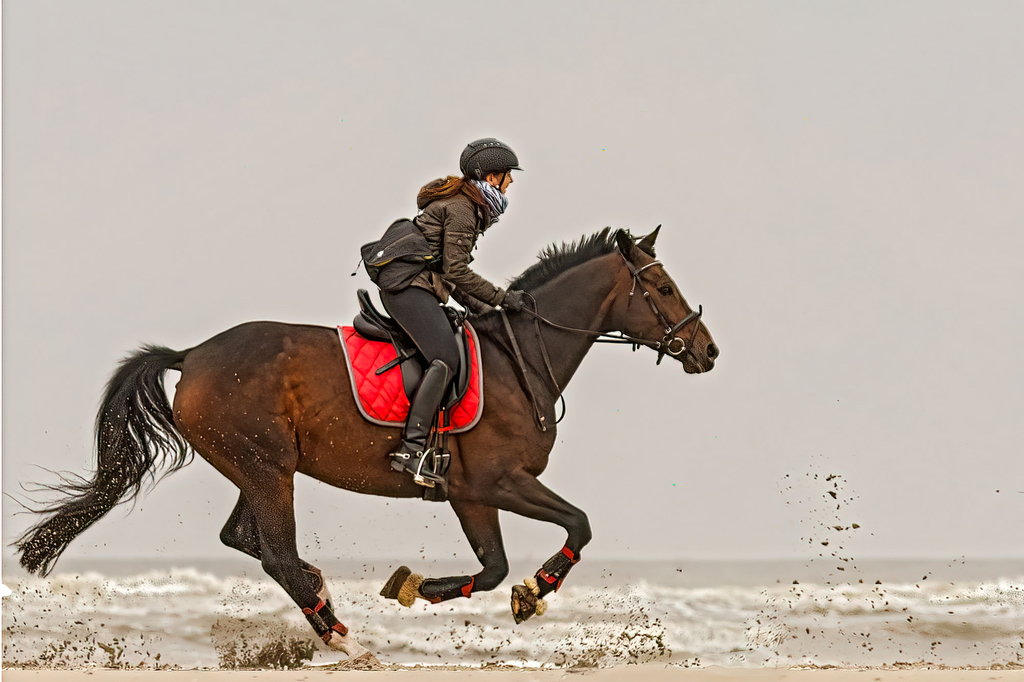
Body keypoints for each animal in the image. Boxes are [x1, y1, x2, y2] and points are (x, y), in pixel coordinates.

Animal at [15, 226, 718, 661]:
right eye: (661, 289)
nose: (706, 351)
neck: (520, 358)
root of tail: (192, 356)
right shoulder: (495, 483)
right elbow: (574, 526)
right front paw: (528, 588)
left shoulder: (470, 495)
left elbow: (497, 566)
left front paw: (438, 588)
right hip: (267, 467)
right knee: (275, 553)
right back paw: (345, 639)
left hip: (258, 468)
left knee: (248, 540)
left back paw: (326, 599)